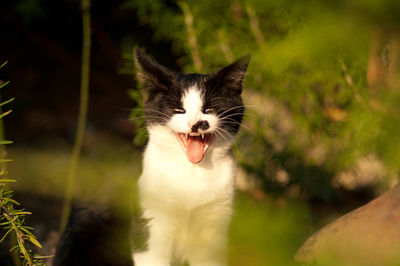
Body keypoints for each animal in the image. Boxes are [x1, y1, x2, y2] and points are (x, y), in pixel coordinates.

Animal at [133, 48, 248, 266]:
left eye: (210, 109)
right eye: (178, 109)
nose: (196, 124)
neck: (191, 170)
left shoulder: (216, 221)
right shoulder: (153, 216)